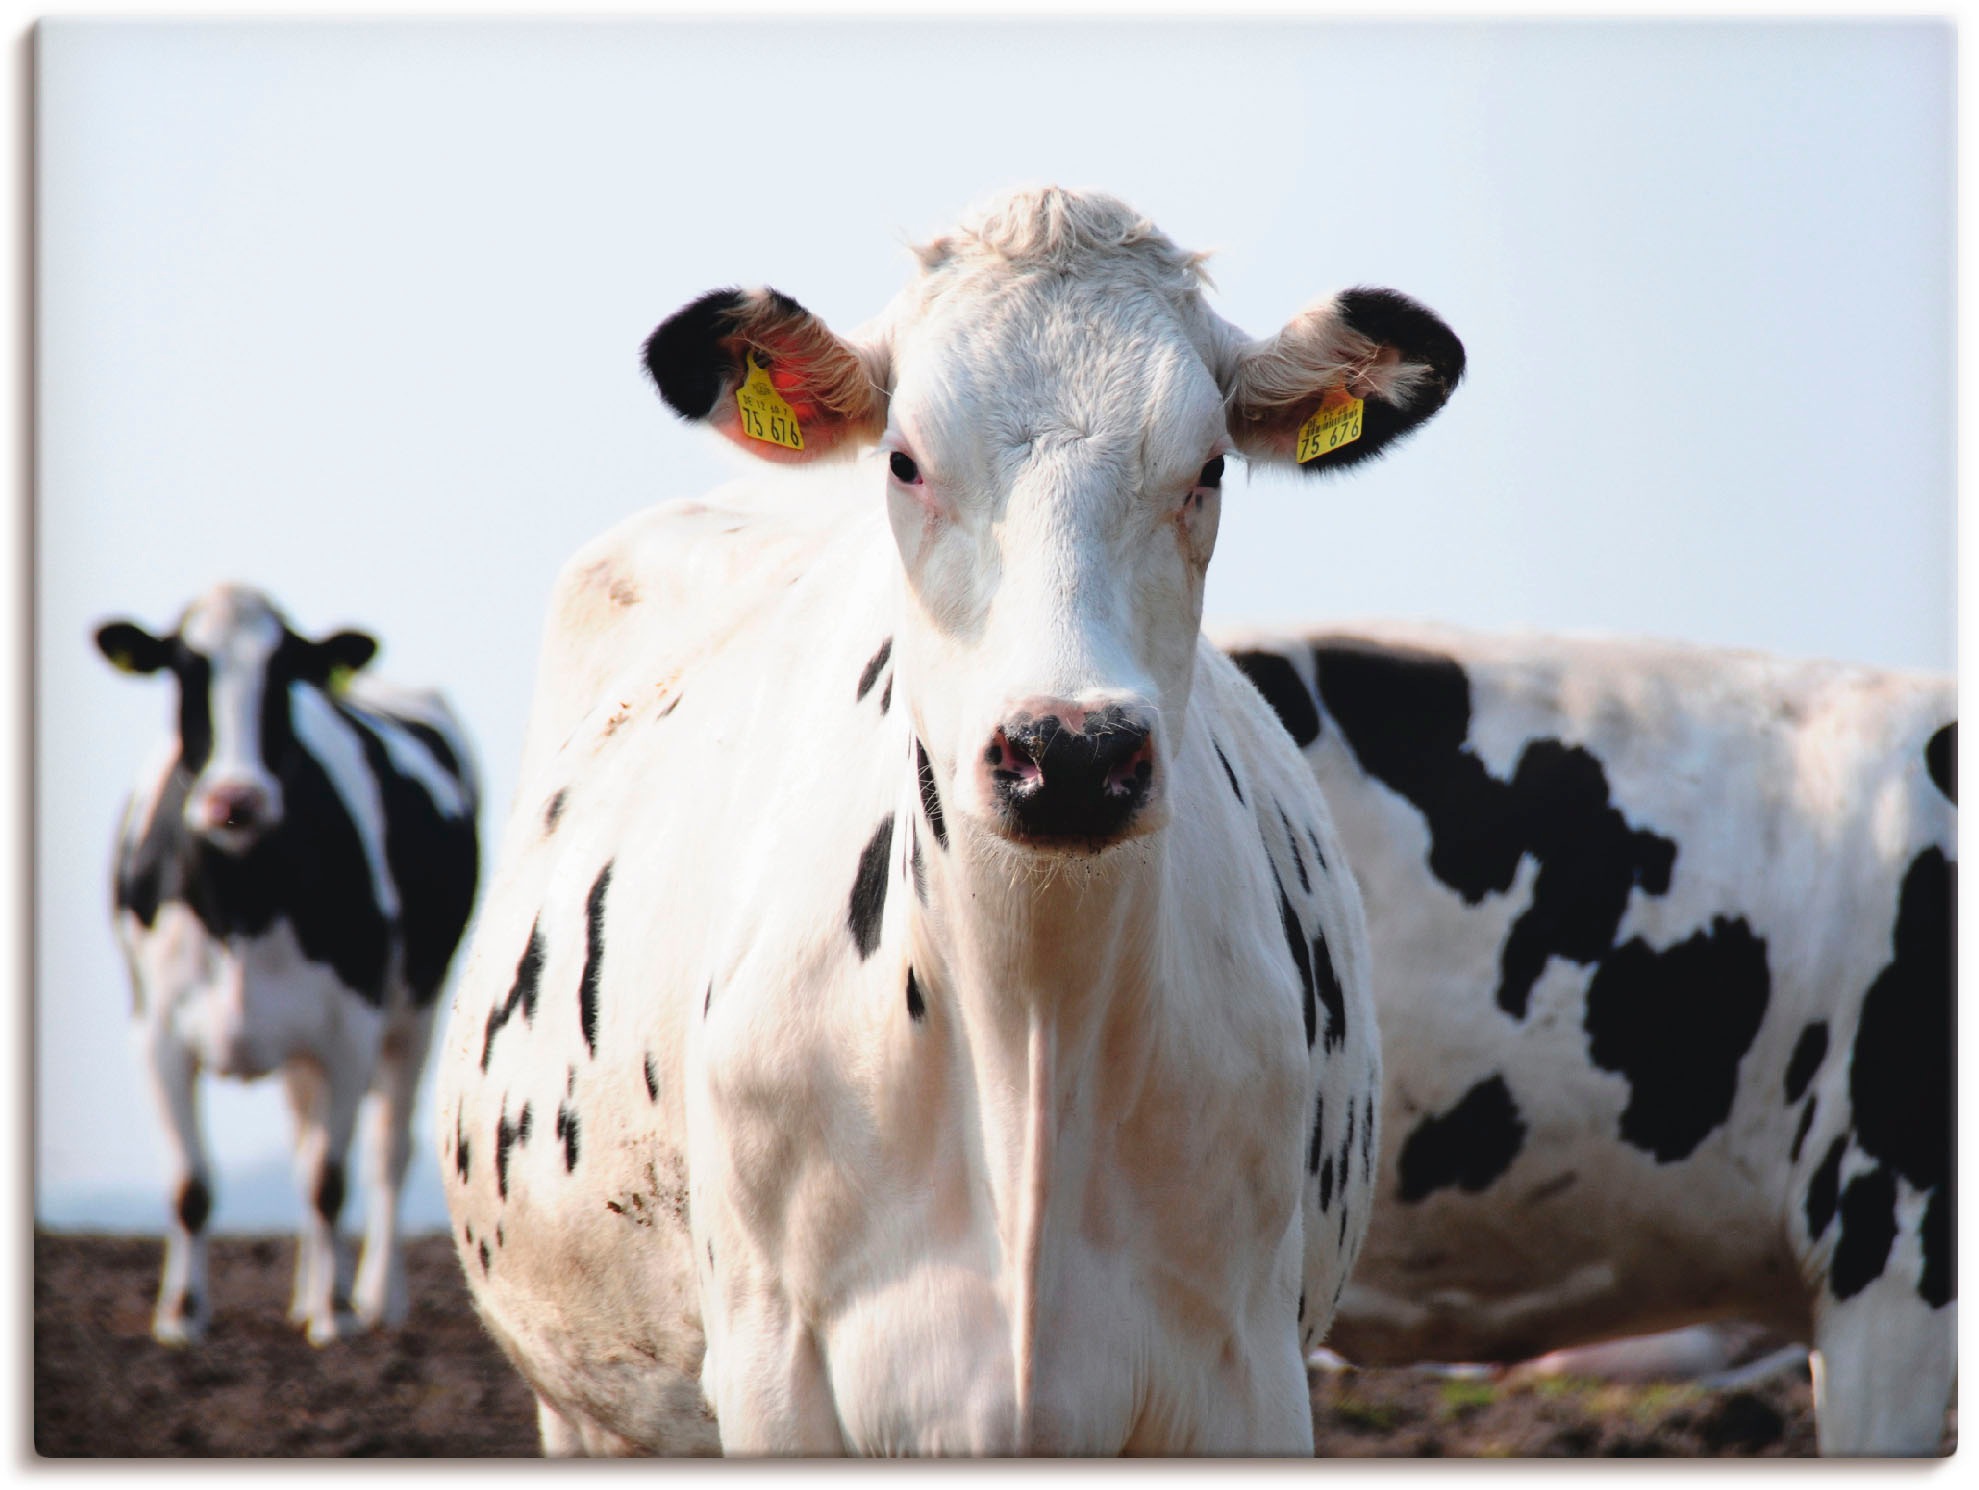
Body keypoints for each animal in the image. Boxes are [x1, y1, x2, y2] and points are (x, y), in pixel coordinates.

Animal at [95, 584, 481, 1347]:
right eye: (185, 670)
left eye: (283, 676)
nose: (235, 799)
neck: (242, 903)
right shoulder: (157, 1034)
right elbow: (190, 1184)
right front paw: (183, 1316)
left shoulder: (350, 1032)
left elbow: (328, 1180)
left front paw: (336, 1318)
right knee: (304, 1139)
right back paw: (307, 1293)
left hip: (415, 1018)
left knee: (386, 1155)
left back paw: (372, 1298)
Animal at [434, 186, 1464, 1456]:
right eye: (906, 460)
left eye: (1207, 468)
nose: (1069, 751)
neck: (1032, 1023)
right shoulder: (779, 1375)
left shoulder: (1250, 1378)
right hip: (583, 1405)